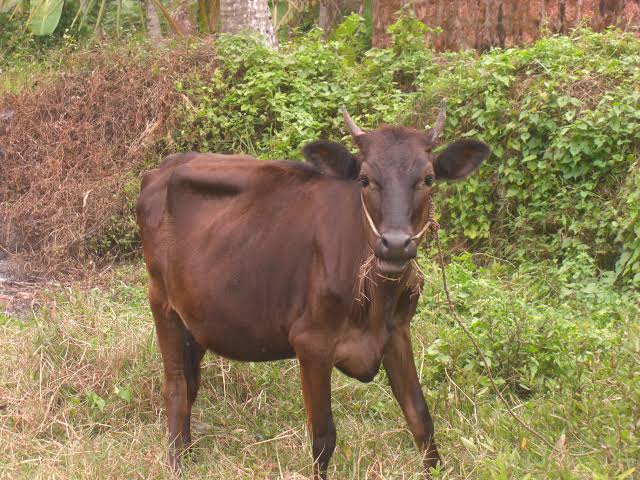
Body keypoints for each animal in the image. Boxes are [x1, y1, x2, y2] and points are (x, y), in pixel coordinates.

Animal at [136, 100, 490, 476]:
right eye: (365, 179)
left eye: (428, 178)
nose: (395, 244)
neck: (376, 301)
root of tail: (161, 168)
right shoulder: (311, 343)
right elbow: (323, 436)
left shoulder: (397, 332)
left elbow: (420, 418)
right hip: (161, 300)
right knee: (176, 385)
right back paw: (176, 462)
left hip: (199, 316)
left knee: (191, 383)